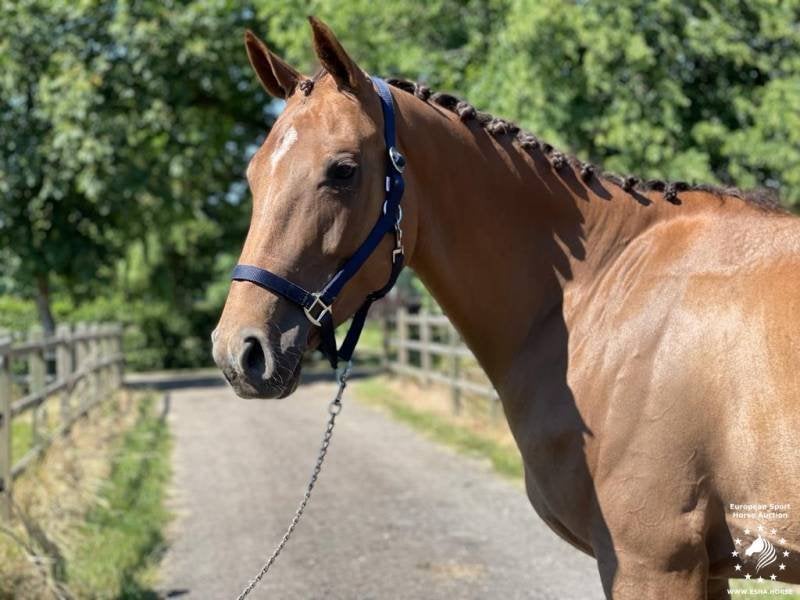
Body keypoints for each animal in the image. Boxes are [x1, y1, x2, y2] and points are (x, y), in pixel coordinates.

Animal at [212, 17, 800, 599]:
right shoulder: (705, 569)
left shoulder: (655, 563)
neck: (607, 289)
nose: (239, 351)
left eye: (342, 170)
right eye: (253, 174)